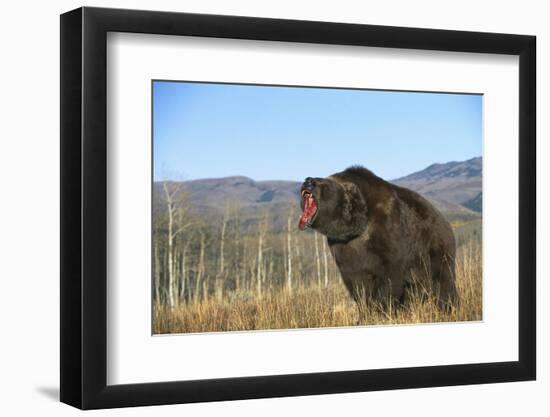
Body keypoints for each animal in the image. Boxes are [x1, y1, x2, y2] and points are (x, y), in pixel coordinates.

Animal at [300, 166, 460, 312]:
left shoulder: (387, 231)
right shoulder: (343, 247)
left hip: (434, 248)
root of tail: (445, 221)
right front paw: (365, 310)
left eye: (322, 183)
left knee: (443, 281)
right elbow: (357, 283)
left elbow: (390, 275)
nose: (307, 180)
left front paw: (382, 307)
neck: (357, 228)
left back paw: (449, 307)